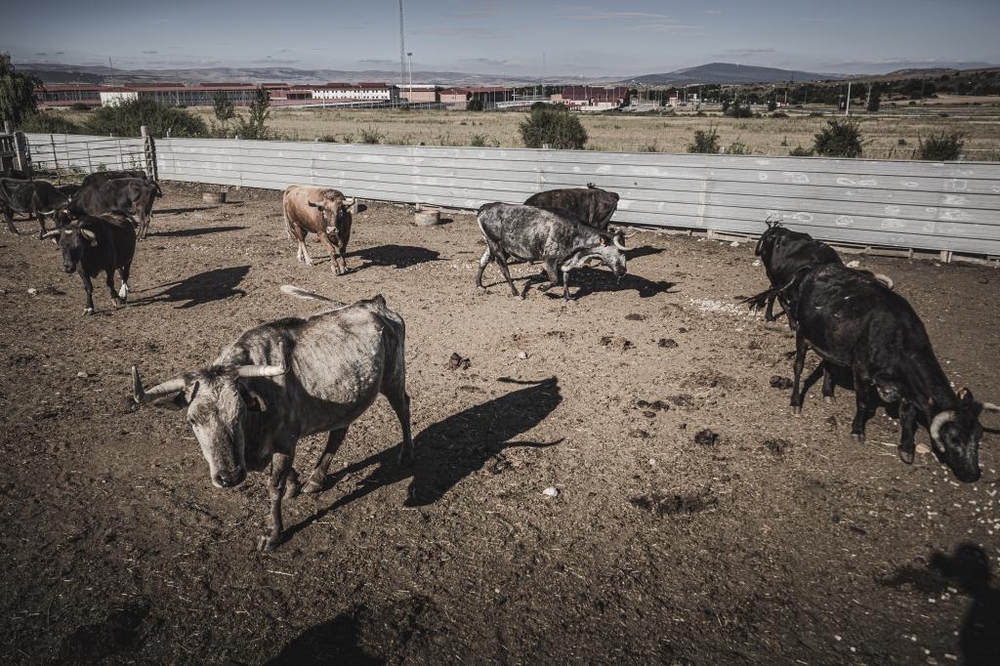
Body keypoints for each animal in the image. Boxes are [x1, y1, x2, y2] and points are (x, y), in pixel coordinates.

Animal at [131, 286, 412, 548]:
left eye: (240, 412)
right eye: (192, 420)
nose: (228, 477)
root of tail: (375, 304)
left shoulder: (286, 442)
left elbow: (274, 486)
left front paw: (273, 532)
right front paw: (295, 484)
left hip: (393, 379)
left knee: (403, 407)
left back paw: (406, 454)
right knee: (339, 431)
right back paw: (316, 478)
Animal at [474, 200, 624, 298]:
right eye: (619, 250)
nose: (623, 271)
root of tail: (486, 206)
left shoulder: (567, 259)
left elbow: (565, 277)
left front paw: (568, 297)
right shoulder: (550, 258)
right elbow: (555, 279)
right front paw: (542, 288)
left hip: (493, 245)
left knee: (483, 260)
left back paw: (479, 284)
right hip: (496, 244)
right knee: (503, 267)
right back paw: (515, 292)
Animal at [784, 260, 996, 482]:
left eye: (978, 436)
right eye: (954, 439)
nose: (973, 473)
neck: (896, 338)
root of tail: (813, 270)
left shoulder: (907, 387)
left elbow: (908, 415)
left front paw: (907, 448)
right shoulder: (861, 371)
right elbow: (862, 402)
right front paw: (857, 431)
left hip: (827, 340)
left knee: (828, 364)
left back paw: (827, 392)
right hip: (802, 334)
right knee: (798, 367)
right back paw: (796, 401)